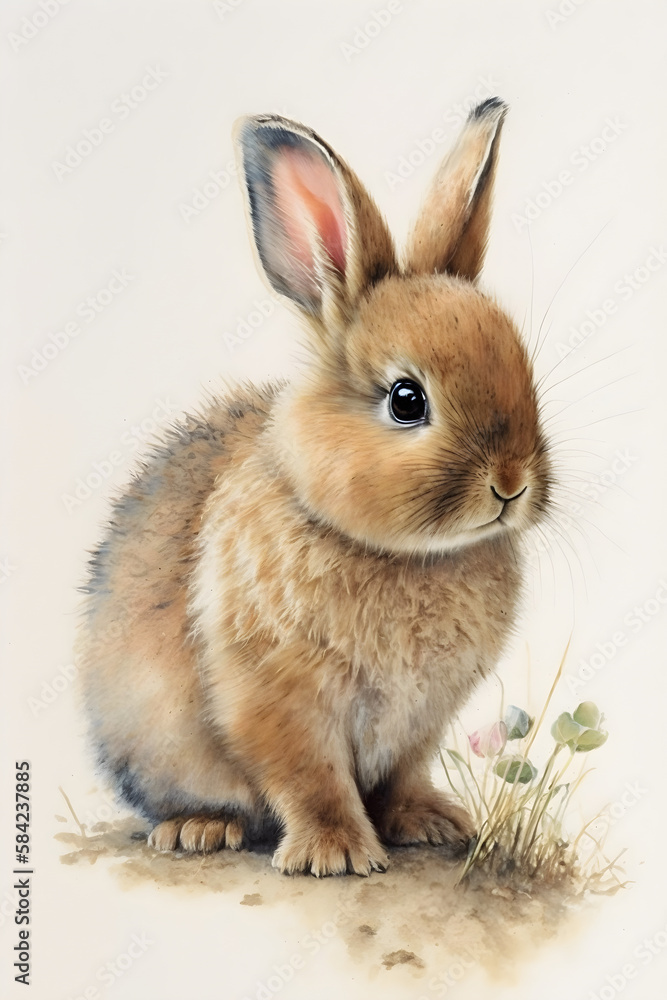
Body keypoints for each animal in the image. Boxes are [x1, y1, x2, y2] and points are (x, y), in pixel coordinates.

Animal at [78, 97, 552, 877]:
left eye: (524, 372)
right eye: (406, 400)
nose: (511, 483)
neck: (401, 552)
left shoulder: (420, 722)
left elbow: (398, 778)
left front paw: (429, 822)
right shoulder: (276, 699)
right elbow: (311, 779)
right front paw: (336, 854)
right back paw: (200, 829)